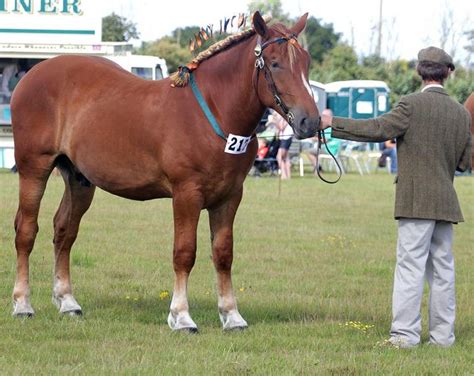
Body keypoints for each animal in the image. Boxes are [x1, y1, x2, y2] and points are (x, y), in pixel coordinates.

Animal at [9, 11, 320, 330]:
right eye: (275, 63)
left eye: (307, 61)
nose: (310, 121)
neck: (213, 113)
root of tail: (33, 74)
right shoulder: (186, 194)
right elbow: (184, 253)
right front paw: (181, 315)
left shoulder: (230, 196)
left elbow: (223, 254)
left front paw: (231, 315)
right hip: (34, 169)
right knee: (26, 230)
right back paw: (22, 304)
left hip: (79, 178)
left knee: (64, 231)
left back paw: (67, 301)